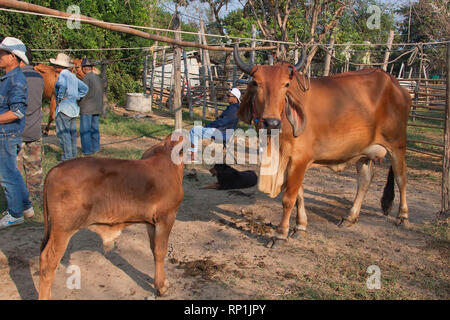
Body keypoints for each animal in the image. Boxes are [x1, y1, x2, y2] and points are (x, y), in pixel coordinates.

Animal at [38, 134, 185, 298]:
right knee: (48, 261)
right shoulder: (166, 217)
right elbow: (161, 251)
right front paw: (161, 287)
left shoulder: (151, 223)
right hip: (63, 229)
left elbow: (154, 249)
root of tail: (55, 169)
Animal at [234, 44, 414, 248]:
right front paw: (301, 226)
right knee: (365, 180)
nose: (271, 122)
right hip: (363, 151)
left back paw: (403, 216)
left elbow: (289, 199)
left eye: (286, 85)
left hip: (397, 145)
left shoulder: (298, 159)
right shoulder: (292, 161)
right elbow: (299, 195)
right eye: (256, 83)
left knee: (401, 178)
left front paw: (280, 234)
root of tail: (397, 85)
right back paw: (350, 217)